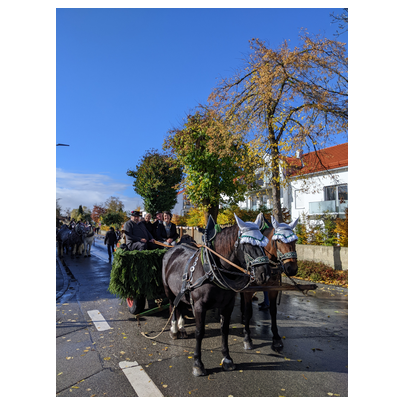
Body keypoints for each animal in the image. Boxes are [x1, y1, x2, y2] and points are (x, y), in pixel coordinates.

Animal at [162, 213, 274, 377]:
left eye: (263, 243)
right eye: (247, 244)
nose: (265, 274)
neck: (212, 269)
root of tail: (174, 249)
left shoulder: (227, 305)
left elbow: (224, 330)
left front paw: (227, 359)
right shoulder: (199, 306)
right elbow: (199, 332)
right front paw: (198, 364)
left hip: (182, 291)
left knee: (181, 305)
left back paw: (182, 328)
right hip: (168, 290)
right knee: (173, 306)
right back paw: (175, 329)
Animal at [240, 214, 299, 352]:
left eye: (295, 241)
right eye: (279, 241)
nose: (292, 268)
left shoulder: (274, 288)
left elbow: (273, 310)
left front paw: (276, 338)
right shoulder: (248, 290)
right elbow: (248, 310)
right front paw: (247, 338)